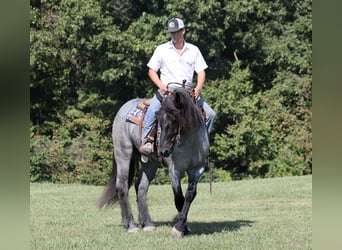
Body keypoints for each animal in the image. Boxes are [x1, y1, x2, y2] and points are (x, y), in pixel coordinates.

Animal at [97, 87, 208, 237]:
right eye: (158, 119)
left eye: (175, 119)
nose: (163, 150)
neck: (190, 141)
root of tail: (123, 107)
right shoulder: (174, 170)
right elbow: (179, 198)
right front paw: (179, 227)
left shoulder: (197, 169)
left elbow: (190, 195)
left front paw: (182, 225)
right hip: (123, 154)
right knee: (122, 186)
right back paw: (131, 225)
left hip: (150, 162)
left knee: (141, 187)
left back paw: (146, 223)